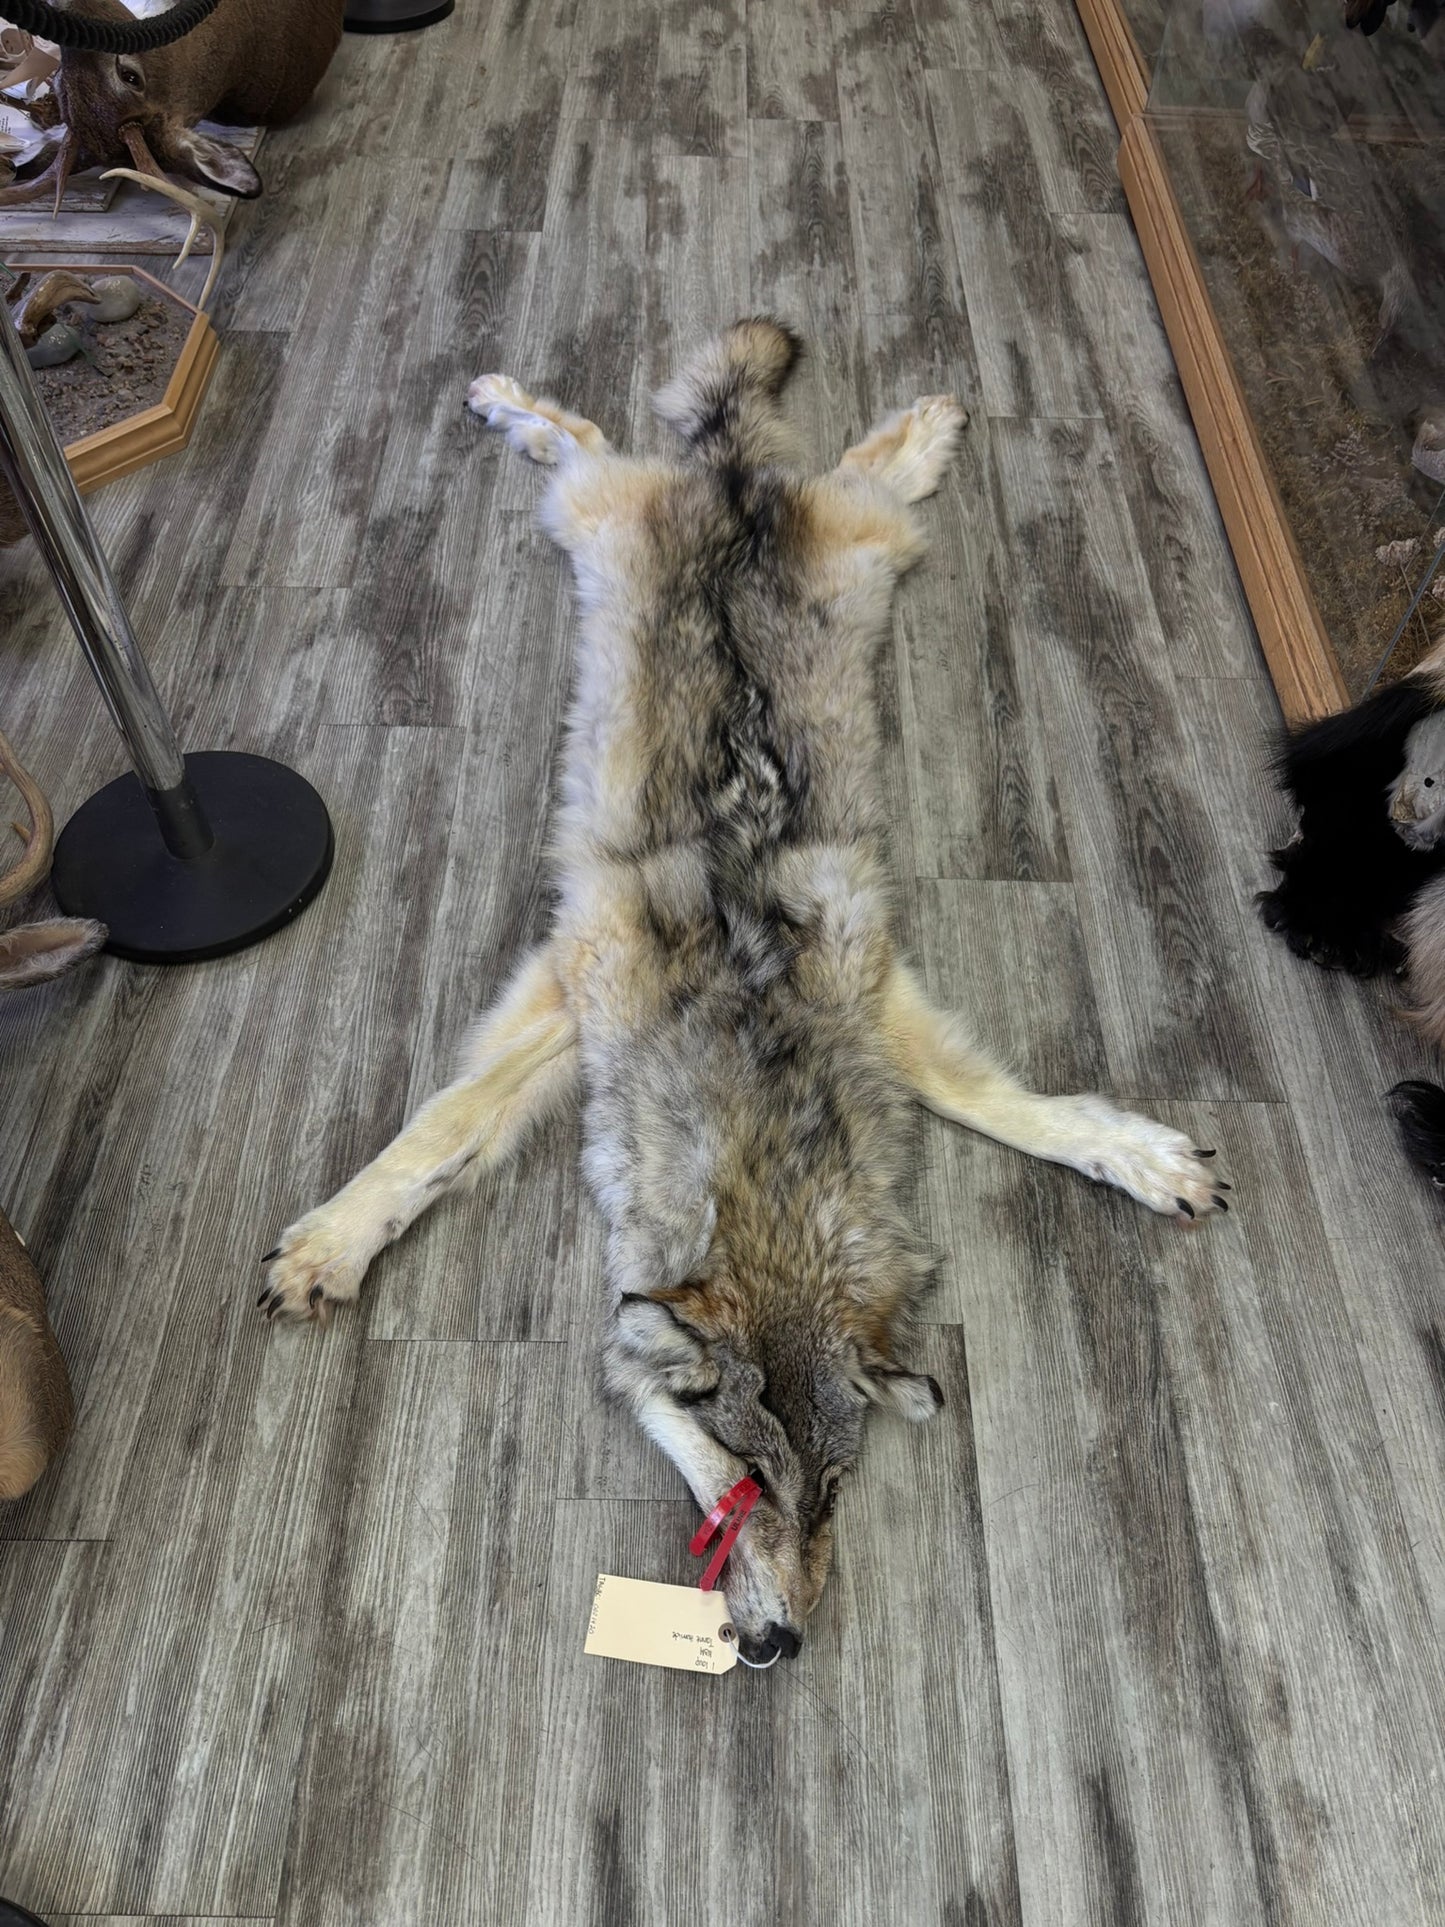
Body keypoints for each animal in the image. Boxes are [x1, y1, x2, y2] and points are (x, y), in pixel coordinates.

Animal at [260, 321, 1229, 1664]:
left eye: (831, 1487)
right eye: (743, 1468)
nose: (780, 1646)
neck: (758, 1086)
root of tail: (729, 485)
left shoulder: (870, 988)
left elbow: (1009, 1106)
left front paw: (1137, 1159)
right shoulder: (579, 980)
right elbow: (438, 1129)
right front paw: (333, 1244)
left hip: (857, 542)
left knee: (829, 460)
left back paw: (922, 429)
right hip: (597, 516)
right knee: (589, 435)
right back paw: (509, 404)